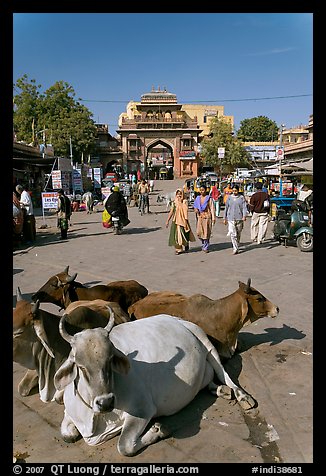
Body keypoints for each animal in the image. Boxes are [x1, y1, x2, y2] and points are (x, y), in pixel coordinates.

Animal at [54, 308, 256, 458]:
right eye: (80, 366)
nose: (106, 402)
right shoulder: (69, 413)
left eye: (111, 359)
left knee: (223, 372)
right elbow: (67, 435)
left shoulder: (142, 409)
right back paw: (220, 390)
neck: (96, 417)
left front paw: (158, 430)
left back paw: (242, 396)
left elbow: (124, 445)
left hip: (205, 341)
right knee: (210, 379)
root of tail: (174, 317)